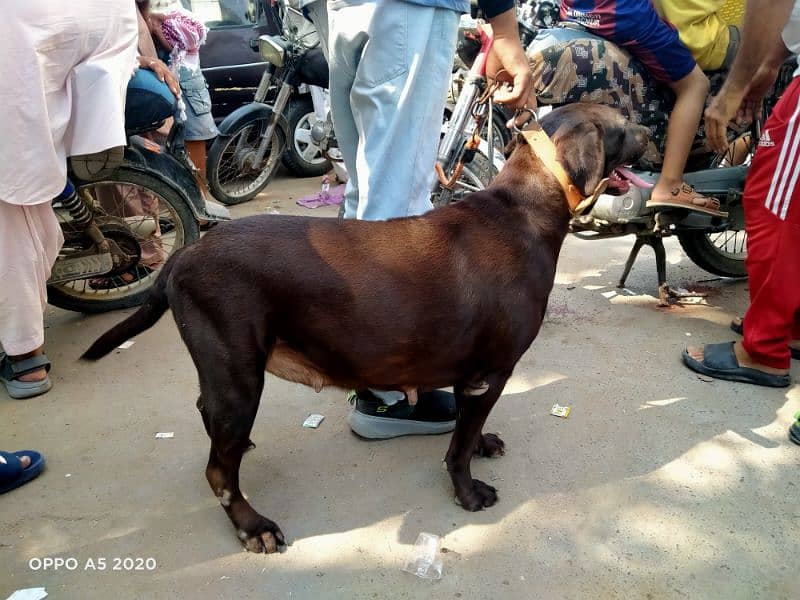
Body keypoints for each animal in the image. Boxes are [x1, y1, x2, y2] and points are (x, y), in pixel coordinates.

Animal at [84, 102, 648, 552]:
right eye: (622, 121)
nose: (650, 130)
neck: (523, 210)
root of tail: (184, 256)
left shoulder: (472, 375)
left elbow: (470, 430)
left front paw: (483, 443)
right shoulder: (489, 374)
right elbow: (458, 447)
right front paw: (468, 492)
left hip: (226, 376)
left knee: (211, 422)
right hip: (239, 376)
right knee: (218, 472)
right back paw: (252, 523)